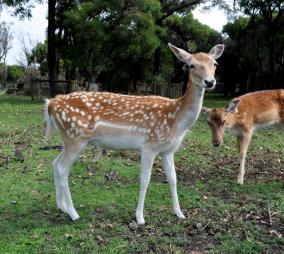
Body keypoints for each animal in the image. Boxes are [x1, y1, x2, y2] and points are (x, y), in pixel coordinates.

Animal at [43, 42, 224, 223]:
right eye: (191, 65)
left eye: (215, 64)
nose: (210, 82)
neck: (176, 121)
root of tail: (50, 104)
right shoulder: (149, 146)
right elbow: (145, 180)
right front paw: (140, 217)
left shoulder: (168, 150)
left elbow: (173, 179)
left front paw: (179, 213)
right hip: (76, 138)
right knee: (62, 168)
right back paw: (73, 213)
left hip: (68, 139)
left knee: (55, 163)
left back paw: (61, 206)